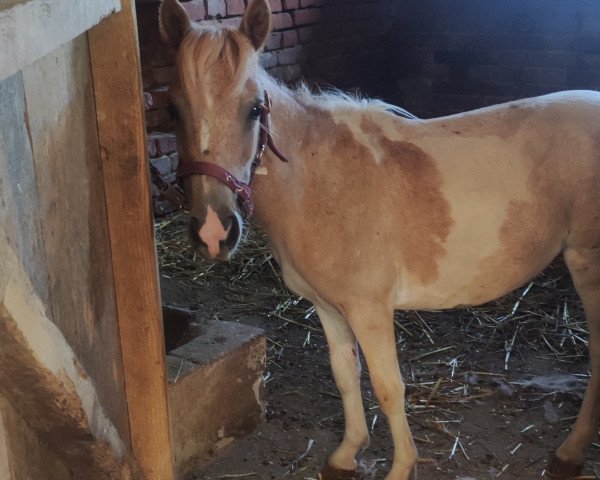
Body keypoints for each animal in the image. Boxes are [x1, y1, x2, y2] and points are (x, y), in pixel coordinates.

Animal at [158, 1, 600, 478]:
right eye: (172, 110)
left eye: (256, 109)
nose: (213, 231)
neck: (321, 182)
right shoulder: (328, 307)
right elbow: (345, 376)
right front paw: (347, 453)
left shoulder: (370, 309)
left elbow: (389, 387)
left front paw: (401, 466)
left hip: (587, 266)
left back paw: (570, 453)